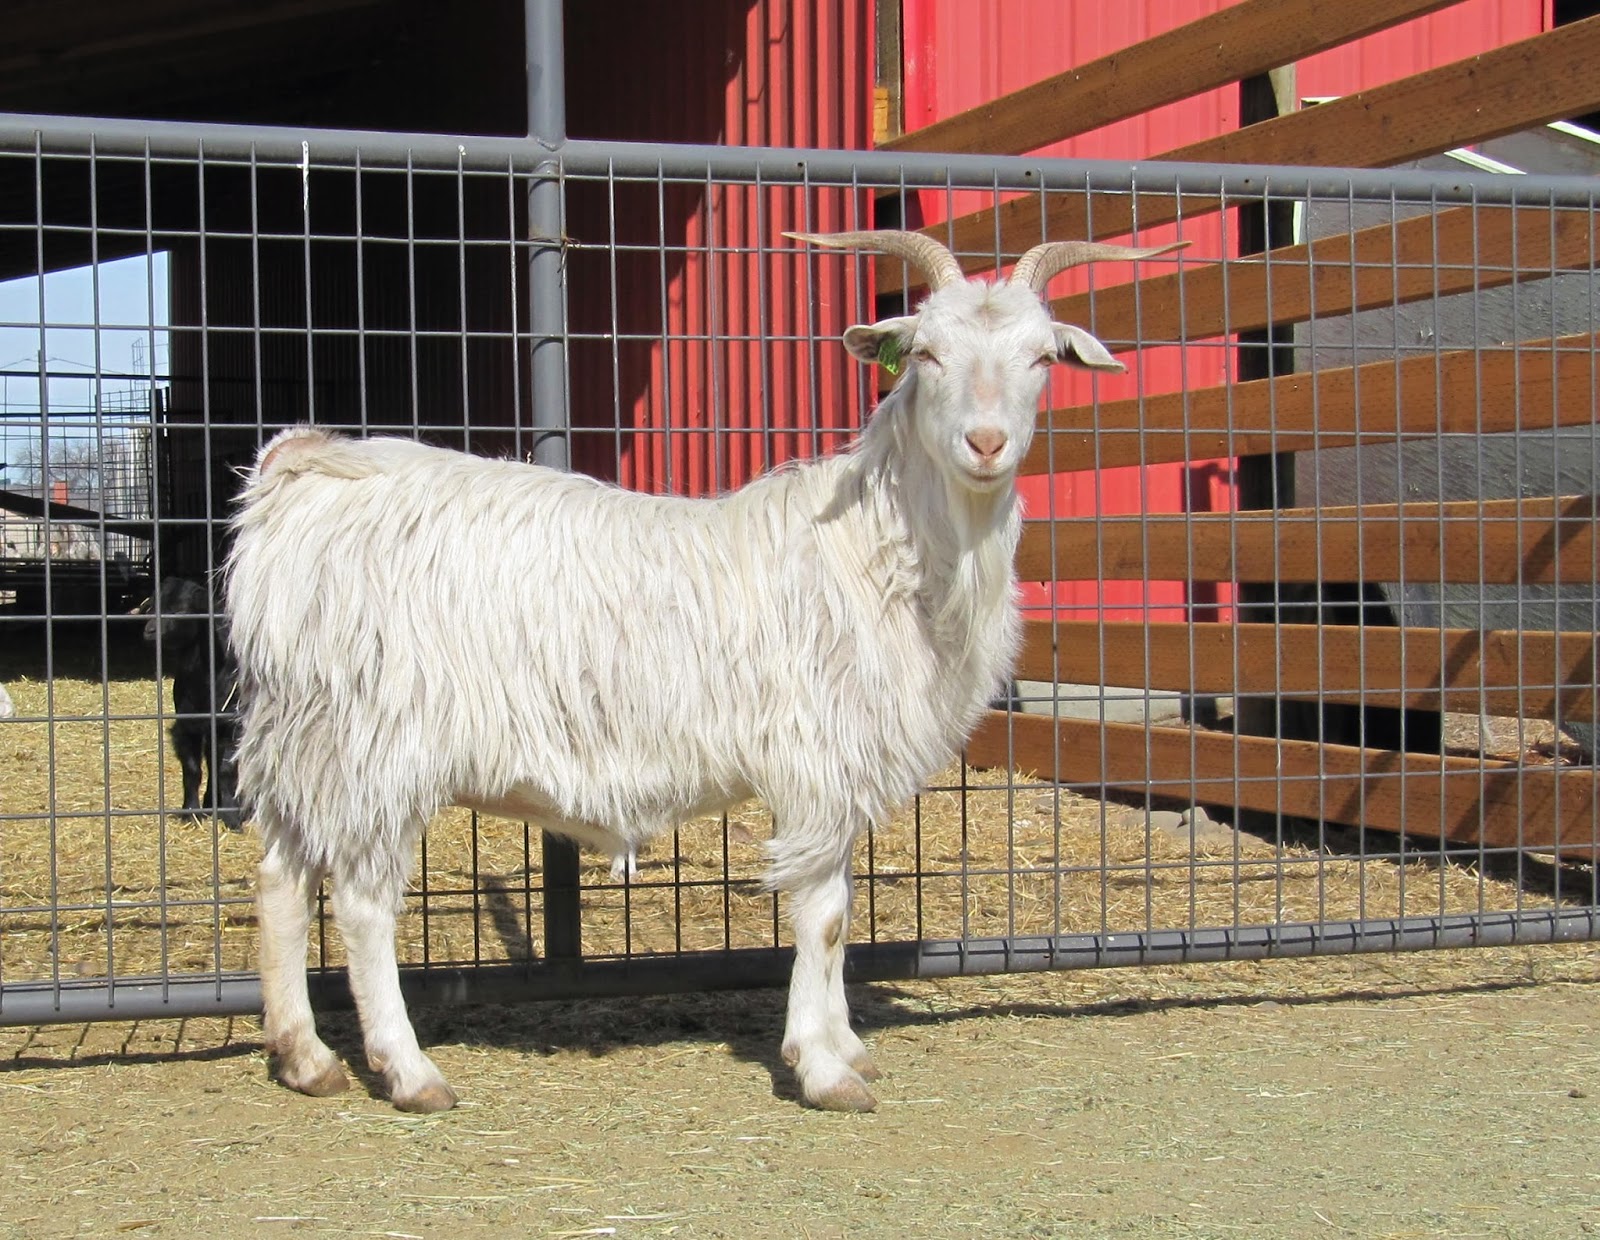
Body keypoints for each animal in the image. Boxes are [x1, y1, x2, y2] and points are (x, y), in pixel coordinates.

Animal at [144, 576, 243, 831]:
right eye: (153, 605)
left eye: (180, 609)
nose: (149, 630)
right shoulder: (187, 725)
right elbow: (192, 770)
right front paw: (190, 812)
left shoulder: (230, 725)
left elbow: (226, 769)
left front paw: (231, 817)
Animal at [226, 229, 1181, 1114]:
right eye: (928, 353)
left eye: (1041, 357)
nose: (986, 442)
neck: (876, 546)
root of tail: (299, 476)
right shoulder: (814, 757)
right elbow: (823, 915)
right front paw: (824, 1068)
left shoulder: (840, 767)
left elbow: (838, 906)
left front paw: (843, 1045)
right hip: (377, 734)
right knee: (360, 897)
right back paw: (408, 1070)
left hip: (307, 729)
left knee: (280, 875)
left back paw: (304, 1058)